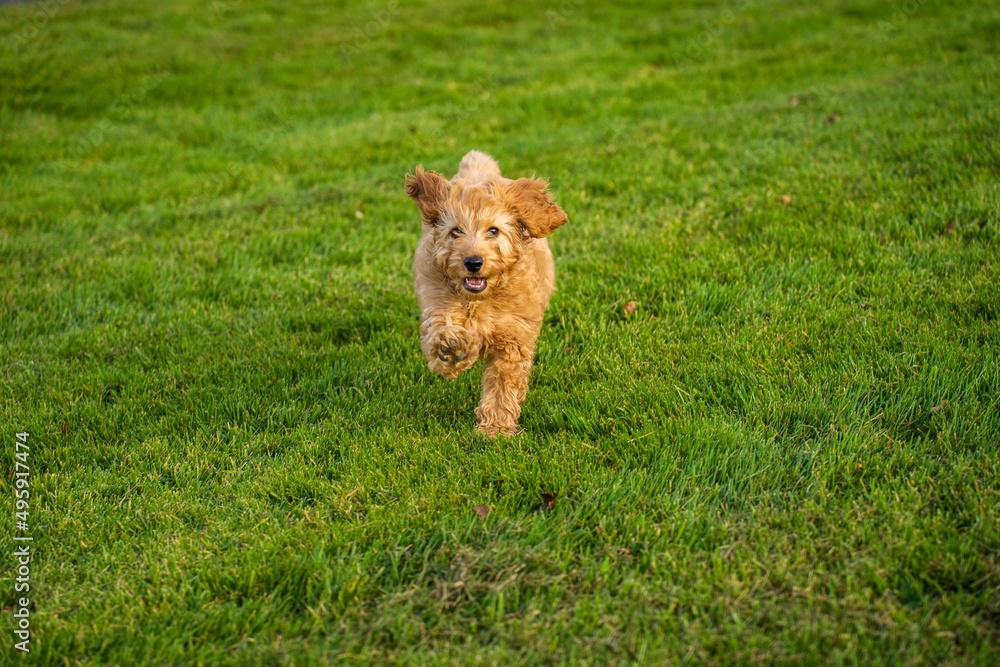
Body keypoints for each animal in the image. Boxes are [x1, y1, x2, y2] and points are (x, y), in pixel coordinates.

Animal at [402, 150, 568, 438]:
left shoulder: (513, 336)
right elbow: (441, 331)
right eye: (456, 231)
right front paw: (451, 349)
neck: (480, 301)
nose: (473, 262)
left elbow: (503, 385)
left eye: (493, 230)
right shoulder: (437, 303)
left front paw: (496, 428)